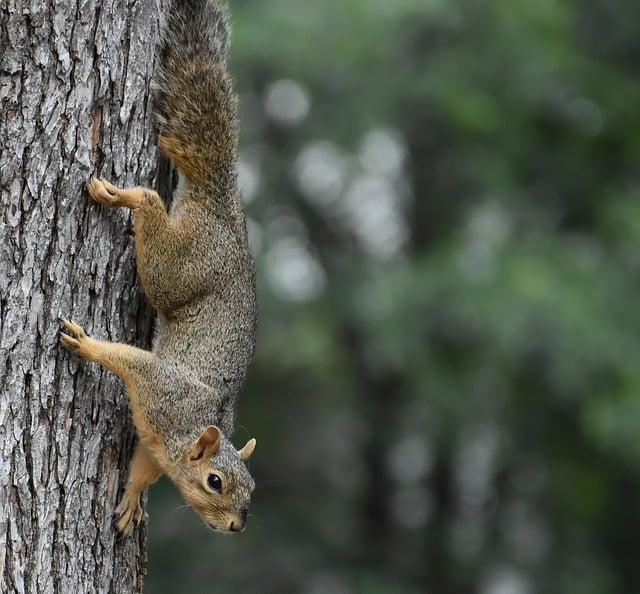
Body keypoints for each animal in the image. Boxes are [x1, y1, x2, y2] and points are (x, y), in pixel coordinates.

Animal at [60, 0, 258, 536]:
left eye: (252, 488)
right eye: (215, 482)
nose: (237, 527)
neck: (183, 433)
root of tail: (224, 205)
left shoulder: (155, 446)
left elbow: (141, 470)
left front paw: (131, 500)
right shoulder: (159, 388)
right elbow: (126, 358)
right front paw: (86, 343)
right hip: (179, 268)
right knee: (150, 201)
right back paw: (117, 195)